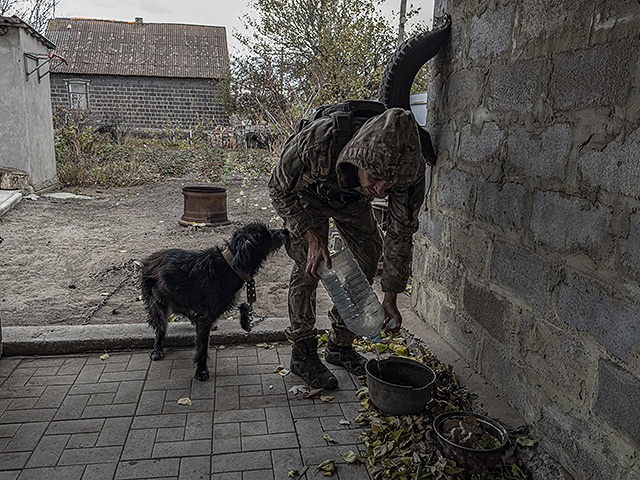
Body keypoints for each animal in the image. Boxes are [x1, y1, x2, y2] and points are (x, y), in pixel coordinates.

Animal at [143, 223, 290, 380]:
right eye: (264, 234)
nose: (285, 230)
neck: (231, 264)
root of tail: (149, 259)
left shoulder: (227, 300)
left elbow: (242, 304)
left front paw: (245, 322)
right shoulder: (207, 316)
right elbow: (202, 347)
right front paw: (201, 371)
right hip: (158, 302)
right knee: (161, 327)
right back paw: (157, 349)